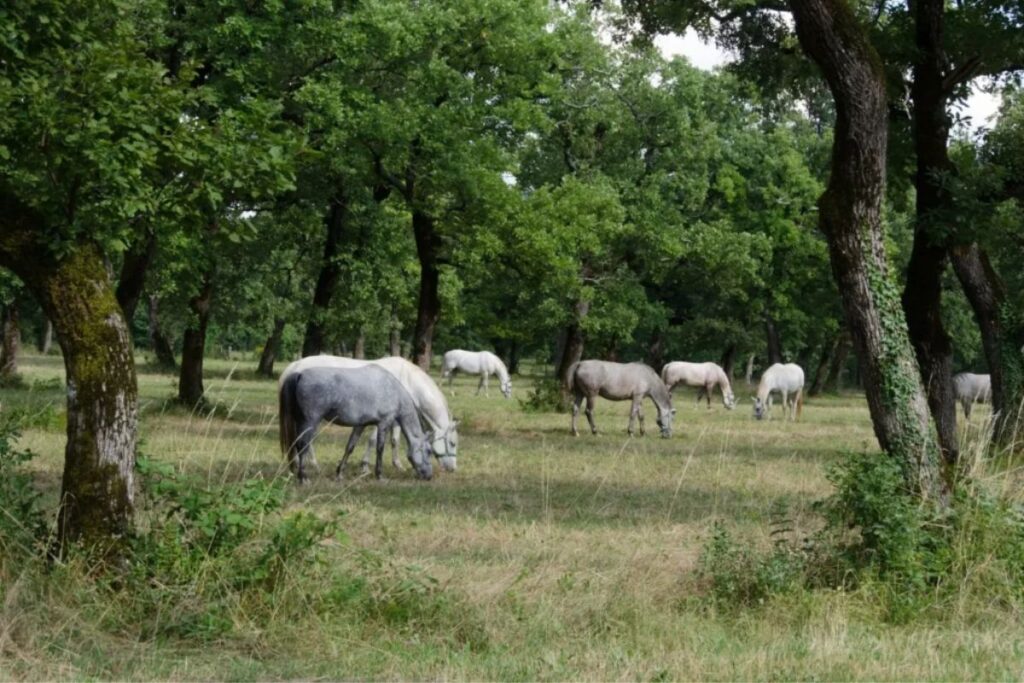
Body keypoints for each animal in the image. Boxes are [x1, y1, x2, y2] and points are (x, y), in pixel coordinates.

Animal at [278, 356, 458, 473]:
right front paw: (365, 465)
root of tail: (294, 367)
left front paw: (397, 464)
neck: (405, 379)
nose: (452, 468)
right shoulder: (383, 420)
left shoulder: (394, 420)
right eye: (453, 443)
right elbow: (375, 441)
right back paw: (313, 465)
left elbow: (394, 441)